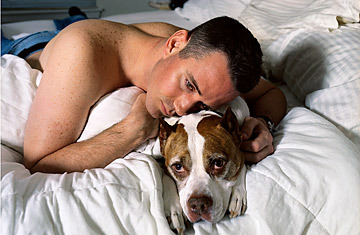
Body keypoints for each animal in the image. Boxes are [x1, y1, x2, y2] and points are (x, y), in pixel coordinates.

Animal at [159, 97, 249, 233]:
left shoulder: (241, 153)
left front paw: (237, 194)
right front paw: (173, 210)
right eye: (178, 167)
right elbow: (166, 177)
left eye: (218, 163)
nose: (198, 204)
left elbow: (241, 166)